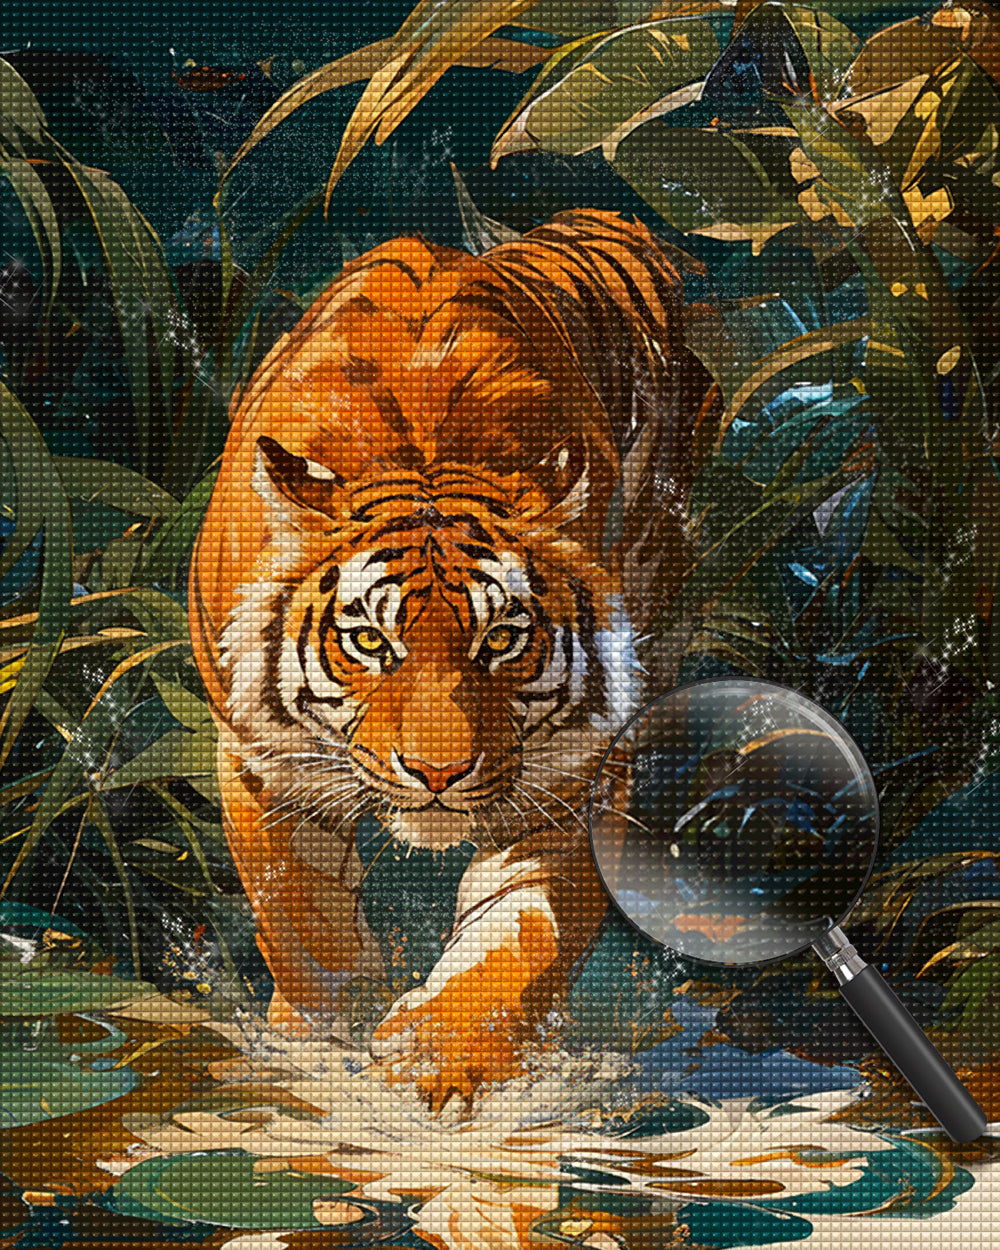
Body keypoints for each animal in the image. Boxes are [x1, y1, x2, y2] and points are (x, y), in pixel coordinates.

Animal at [188, 209, 718, 1111]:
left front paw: (440, 1053)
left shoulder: (570, 777)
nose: (438, 773)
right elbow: (301, 916)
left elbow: (522, 930)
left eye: (501, 638)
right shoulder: (263, 758)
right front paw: (320, 1037)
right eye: (370, 641)